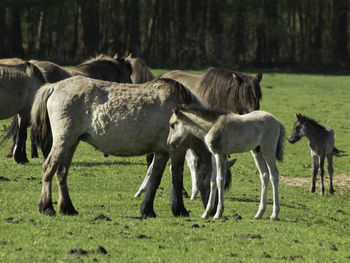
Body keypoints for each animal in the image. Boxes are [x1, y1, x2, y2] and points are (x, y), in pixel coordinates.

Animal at [30, 76, 216, 219]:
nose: (213, 211)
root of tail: (54, 86)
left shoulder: (162, 152)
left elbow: (155, 179)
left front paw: (147, 210)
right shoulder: (177, 150)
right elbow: (176, 179)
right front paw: (180, 210)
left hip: (71, 142)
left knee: (62, 172)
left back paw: (67, 208)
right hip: (63, 140)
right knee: (49, 168)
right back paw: (47, 207)